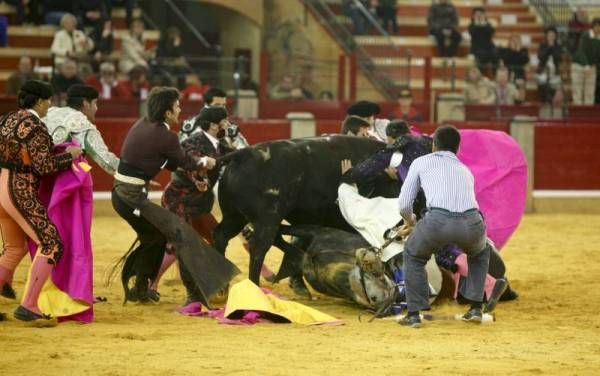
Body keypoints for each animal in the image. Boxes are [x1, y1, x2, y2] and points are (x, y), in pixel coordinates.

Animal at [213, 135, 406, 284]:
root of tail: (244, 153)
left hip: (235, 216)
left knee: (222, 235)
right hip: (266, 219)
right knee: (259, 247)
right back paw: (255, 286)